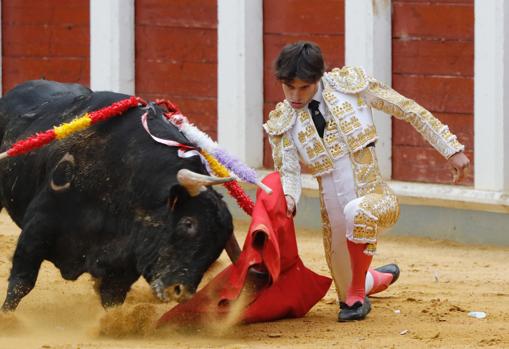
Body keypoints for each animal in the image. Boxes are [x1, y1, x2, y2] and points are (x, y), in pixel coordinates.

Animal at [0, 81, 240, 310]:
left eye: (219, 242)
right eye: (188, 223)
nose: (180, 291)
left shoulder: (123, 264)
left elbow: (112, 301)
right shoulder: (37, 229)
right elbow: (21, 284)